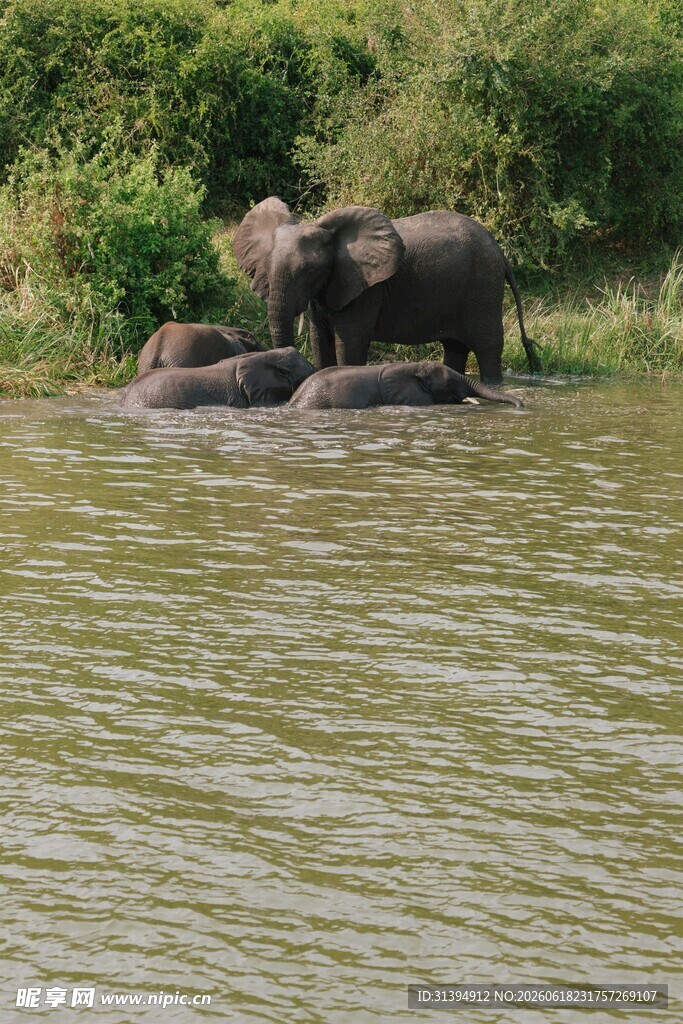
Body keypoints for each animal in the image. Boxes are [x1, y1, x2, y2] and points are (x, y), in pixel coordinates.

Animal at [233, 197, 540, 384]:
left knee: (487, 347)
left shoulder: (365, 290)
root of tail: (500, 251)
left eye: (309, 270)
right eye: (265, 266)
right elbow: (320, 343)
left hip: (483, 285)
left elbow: (350, 346)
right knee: (455, 348)